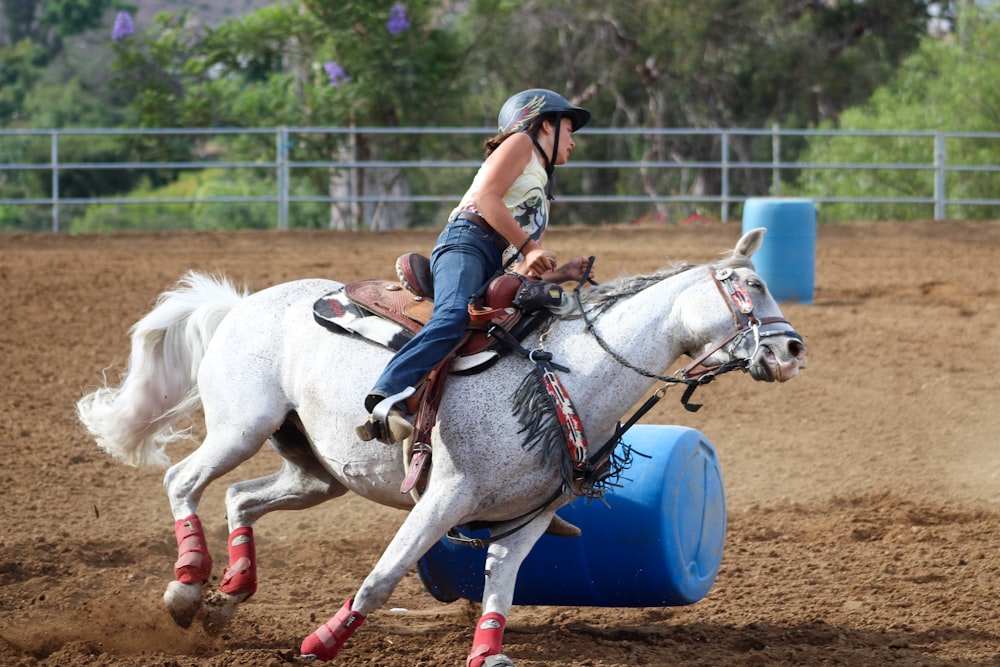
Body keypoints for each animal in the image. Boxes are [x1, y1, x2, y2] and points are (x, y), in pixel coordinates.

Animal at [76, 227, 804, 664]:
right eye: (752, 285)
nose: (793, 349)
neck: (561, 375)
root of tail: (239, 304)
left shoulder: (526, 517)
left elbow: (500, 588)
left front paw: (488, 652)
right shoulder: (443, 498)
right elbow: (381, 577)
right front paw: (322, 641)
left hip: (315, 472)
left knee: (240, 498)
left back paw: (228, 592)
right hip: (239, 427)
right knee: (184, 482)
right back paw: (186, 587)